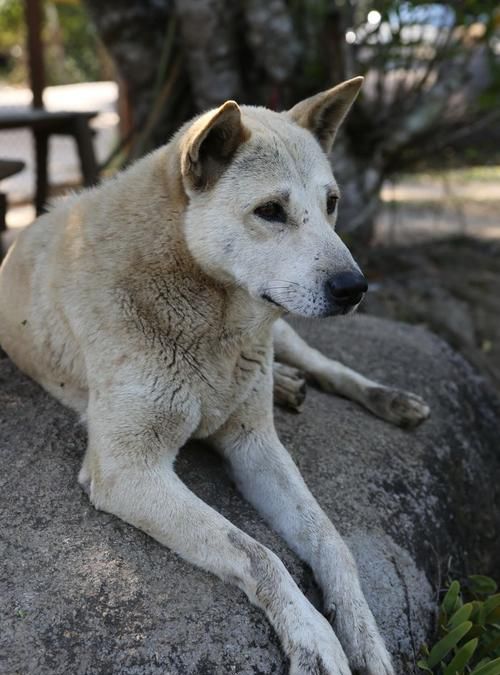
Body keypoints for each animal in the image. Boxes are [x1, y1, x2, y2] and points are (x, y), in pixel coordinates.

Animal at [0, 76, 430, 672]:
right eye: (270, 210)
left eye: (332, 204)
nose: (355, 288)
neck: (210, 323)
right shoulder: (128, 470)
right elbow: (257, 552)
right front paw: (316, 639)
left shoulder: (255, 445)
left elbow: (330, 539)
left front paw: (363, 633)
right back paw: (291, 387)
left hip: (285, 328)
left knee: (326, 366)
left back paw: (383, 399)